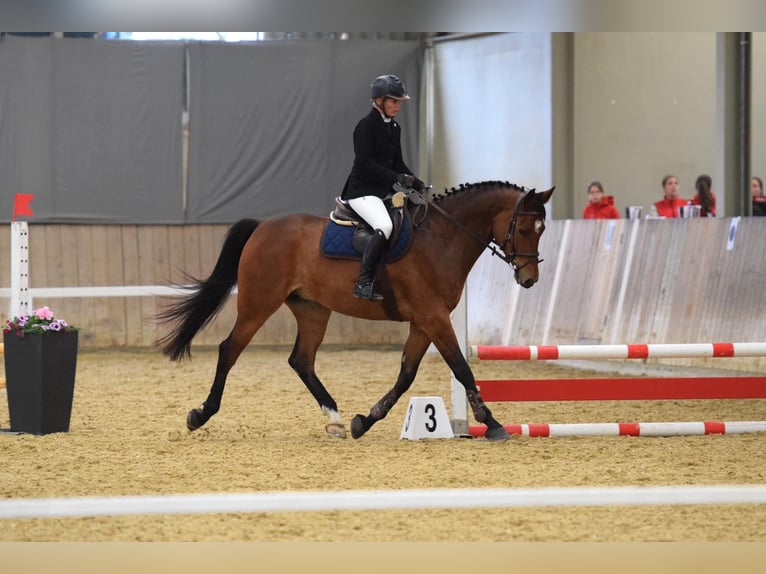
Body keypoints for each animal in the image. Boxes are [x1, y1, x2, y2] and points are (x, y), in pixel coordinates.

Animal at [155, 181, 554, 442]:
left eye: (542, 229)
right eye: (522, 228)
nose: (529, 279)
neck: (441, 239)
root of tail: (263, 226)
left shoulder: (424, 322)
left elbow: (407, 374)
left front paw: (366, 420)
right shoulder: (433, 317)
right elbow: (461, 366)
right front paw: (493, 423)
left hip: (313, 310)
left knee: (301, 360)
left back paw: (335, 418)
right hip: (258, 303)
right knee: (230, 349)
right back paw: (200, 414)